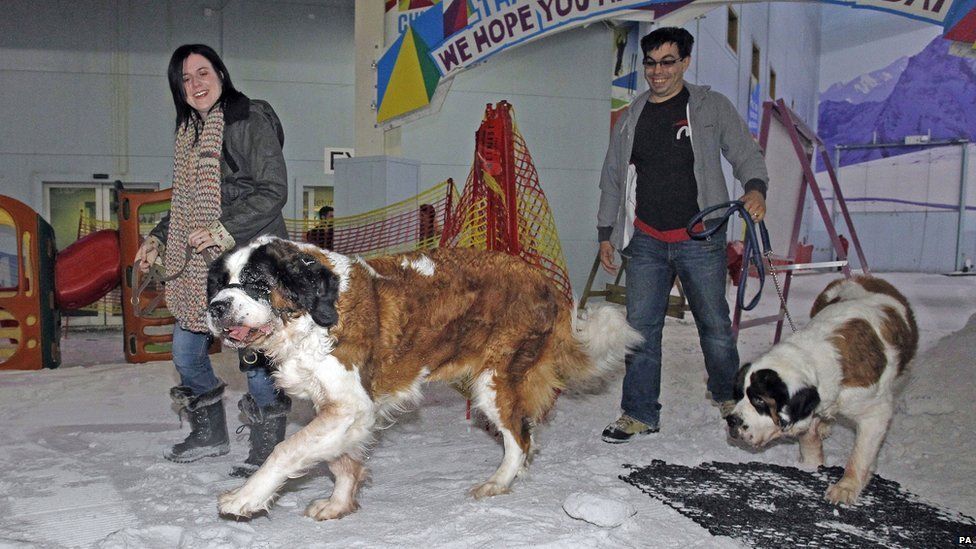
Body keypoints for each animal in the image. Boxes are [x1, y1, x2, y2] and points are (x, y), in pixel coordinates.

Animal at [204, 235, 640, 520]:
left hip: (495, 380)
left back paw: (498, 482)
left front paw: (244, 497)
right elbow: (341, 460)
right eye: (221, 283)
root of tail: (546, 283)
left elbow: (286, 449)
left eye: (257, 283)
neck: (310, 316)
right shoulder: (342, 409)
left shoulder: (351, 405)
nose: (216, 307)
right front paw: (339, 504)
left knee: (519, 438)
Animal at [728, 276, 920, 504]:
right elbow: (808, 438)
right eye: (739, 395)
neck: (815, 357)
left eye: (759, 401)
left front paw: (846, 487)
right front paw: (811, 465)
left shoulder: (876, 412)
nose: (731, 420)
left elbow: (860, 453)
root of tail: (864, 277)